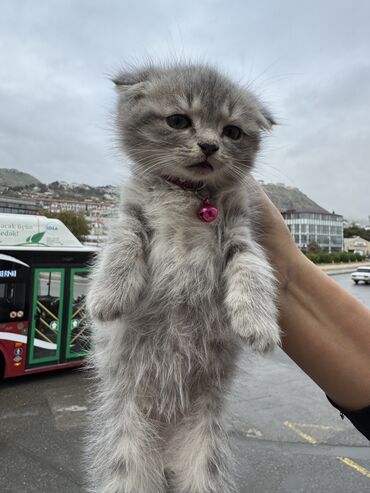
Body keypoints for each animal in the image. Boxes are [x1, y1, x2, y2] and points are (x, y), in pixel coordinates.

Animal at [86, 62, 278, 492]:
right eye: (178, 121)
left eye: (232, 131)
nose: (209, 146)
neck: (188, 195)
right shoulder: (131, 214)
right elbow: (121, 244)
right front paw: (108, 295)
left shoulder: (241, 231)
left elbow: (252, 268)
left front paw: (257, 322)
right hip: (127, 452)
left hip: (205, 457)